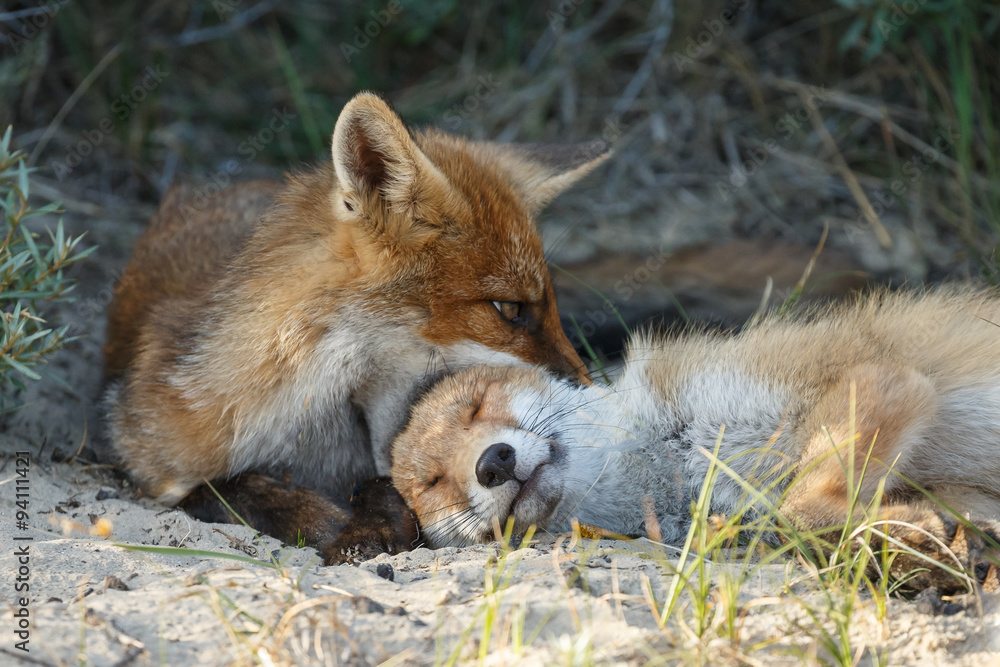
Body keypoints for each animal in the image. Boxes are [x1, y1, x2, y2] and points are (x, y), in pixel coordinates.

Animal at [103, 92, 610, 557]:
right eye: (509, 308)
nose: (592, 397)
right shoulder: (152, 466)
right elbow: (228, 488)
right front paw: (327, 523)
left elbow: (379, 485)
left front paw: (371, 523)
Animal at [391, 287, 1000, 592]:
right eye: (434, 483)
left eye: (479, 405)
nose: (492, 463)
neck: (677, 460)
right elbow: (799, 522)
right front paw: (921, 546)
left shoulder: (882, 378)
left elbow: (799, 508)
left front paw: (922, 547)